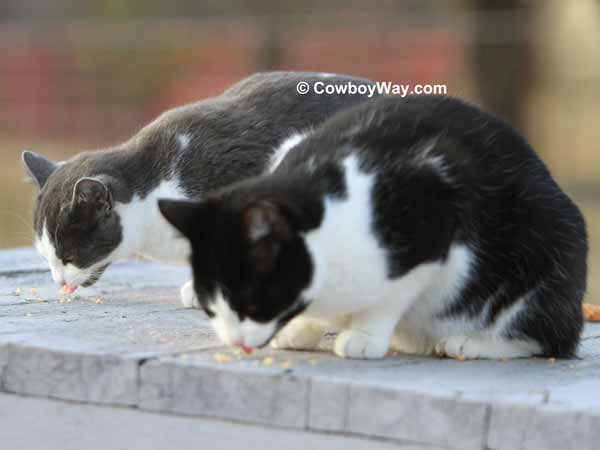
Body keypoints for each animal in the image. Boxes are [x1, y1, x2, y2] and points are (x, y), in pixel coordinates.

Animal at [158, 94, 584, 358]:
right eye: (210, 308)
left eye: (250, 303)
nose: (236, 342)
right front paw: (305, 327)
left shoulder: (433, 230)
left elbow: (389, 297)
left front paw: (364, 335)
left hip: (545, 251)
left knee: (552, 337)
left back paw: (468, 343)